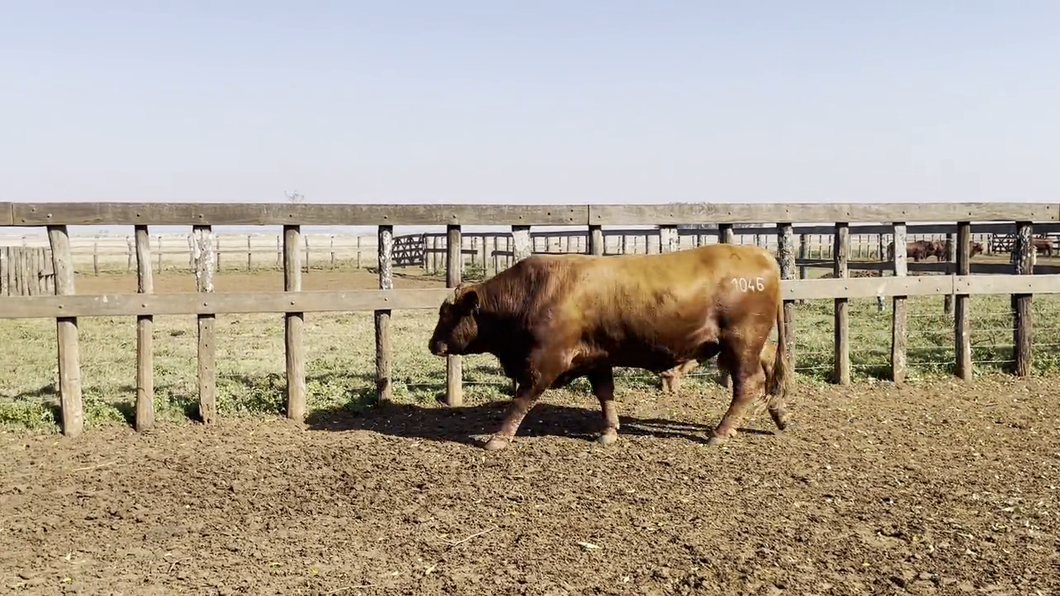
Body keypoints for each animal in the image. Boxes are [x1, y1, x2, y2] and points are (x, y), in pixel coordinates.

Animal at [426, 241, 792, 449]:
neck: (534, 293)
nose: (434, 344)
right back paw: (779, 414)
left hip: (741, 341)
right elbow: (605, 394)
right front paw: (610, 431)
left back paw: (720, 431)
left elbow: (522, 400)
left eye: (448, 314)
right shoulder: (597, 358)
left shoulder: (545, 362)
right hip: (748, 344)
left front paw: (499, 437)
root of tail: (762, 255)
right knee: (770, 370)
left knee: (747, 385)